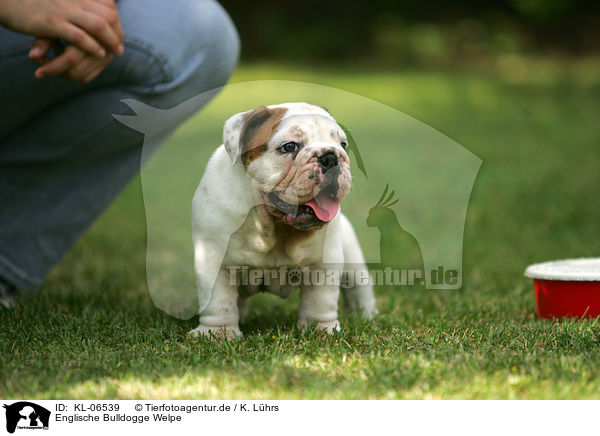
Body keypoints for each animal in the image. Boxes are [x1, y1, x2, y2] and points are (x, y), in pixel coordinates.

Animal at [191, 104, 376, 338]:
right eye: (289, 147)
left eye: (342, 144)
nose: (331, 156)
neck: (273, 228)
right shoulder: (213, 258)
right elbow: (218, 301)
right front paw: (217, 334)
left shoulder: (324, 262)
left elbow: (320, 300)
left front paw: (320, 330)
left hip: (353, 260)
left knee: (359, 287)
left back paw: (367, 316)